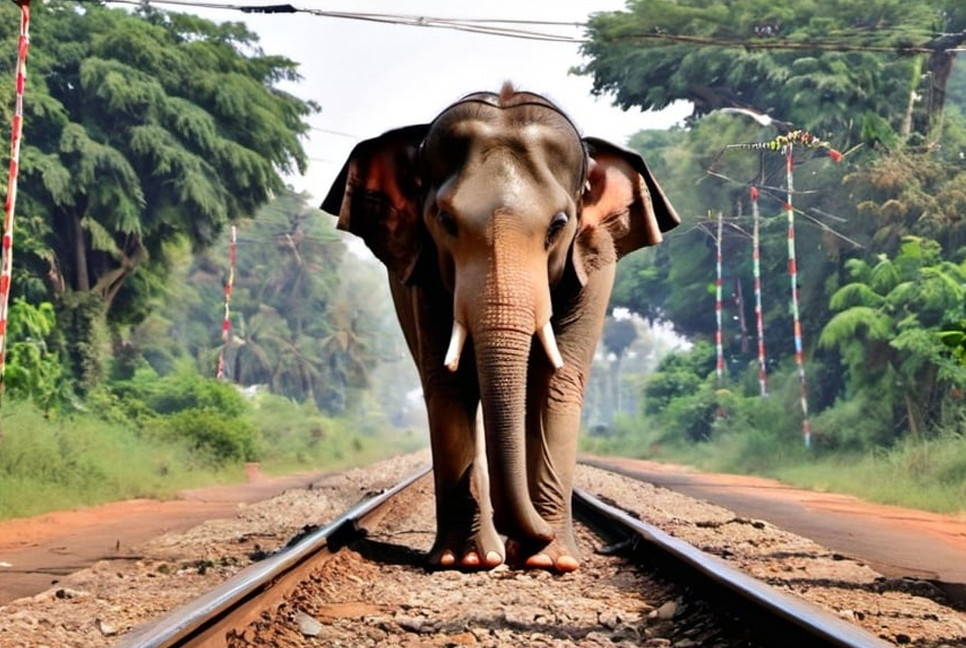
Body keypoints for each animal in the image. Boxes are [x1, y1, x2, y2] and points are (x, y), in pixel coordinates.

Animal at [322, 83, 679, 572]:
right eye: (444, 220)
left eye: (559, 224)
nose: (524, 539)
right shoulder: (421, 272)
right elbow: (447, 382)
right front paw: (467, 561)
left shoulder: (594, 266)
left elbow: (557, 380)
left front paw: (550, 562)